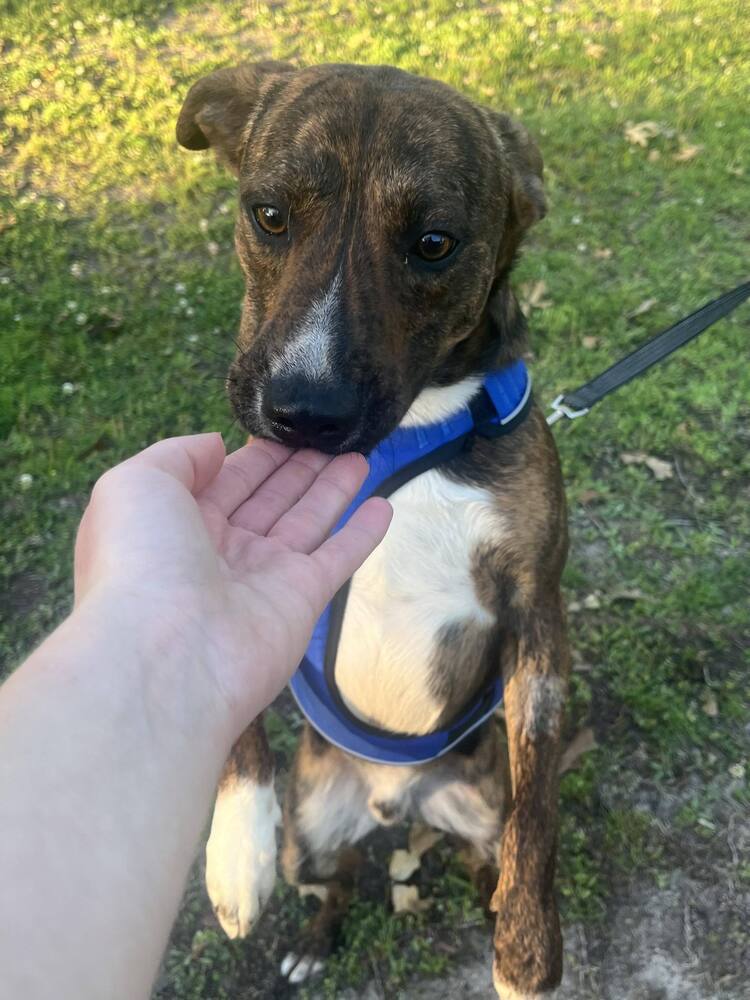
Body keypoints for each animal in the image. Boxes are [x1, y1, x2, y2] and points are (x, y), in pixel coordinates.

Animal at [178, 64, 568, 1000]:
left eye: (433, 243)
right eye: (268, 214)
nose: (304, 415)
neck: (414, 430)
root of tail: (395, 802)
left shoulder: (537, 611)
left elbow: (539, 802)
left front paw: (528, 947)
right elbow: (237, 713)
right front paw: (233, 853)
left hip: (478, 804)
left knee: (486, 855)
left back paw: (493, 905)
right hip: (312, 835)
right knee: (342, 875)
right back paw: (312, 936)